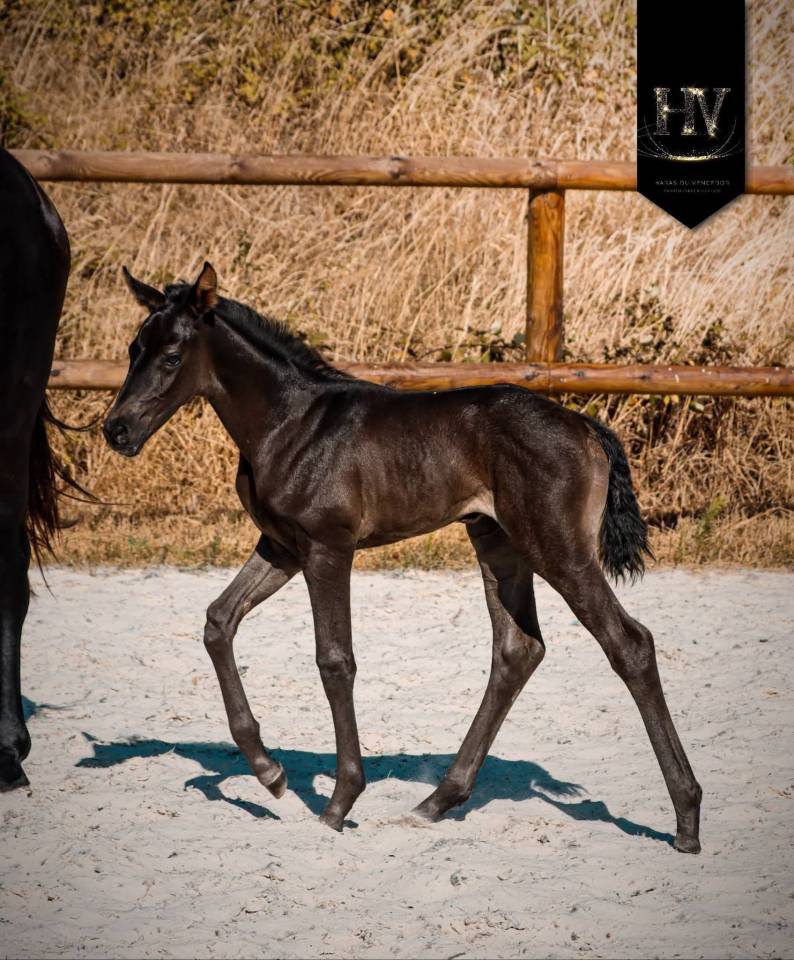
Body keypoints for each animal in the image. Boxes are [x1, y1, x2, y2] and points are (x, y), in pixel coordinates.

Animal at [103, 262, 702, 852]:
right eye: (134, 348)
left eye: (172, 356)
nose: (117, 429)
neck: (291, 423)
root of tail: (586, 427)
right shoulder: (281, 546)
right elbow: (218, 622)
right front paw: (269, 773)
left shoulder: (327, 547)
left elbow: (334, 660)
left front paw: (339, 802)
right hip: (498, 543)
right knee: (517, 650)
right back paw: (436, 801)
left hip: (557, 547)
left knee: (629, 645)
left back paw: (687, 819)